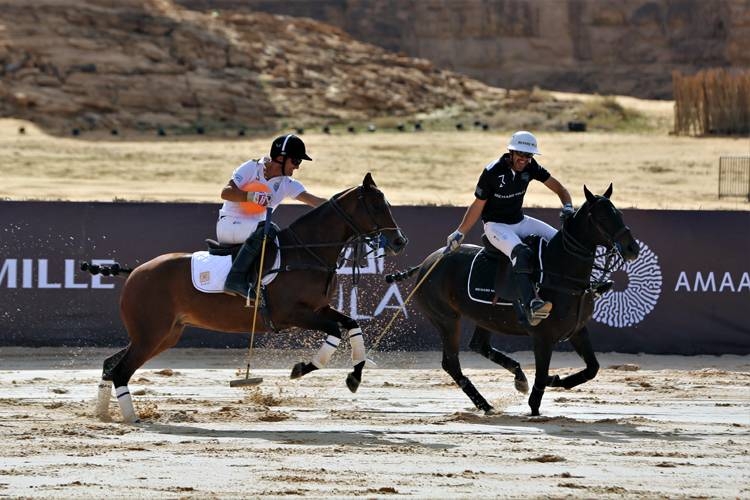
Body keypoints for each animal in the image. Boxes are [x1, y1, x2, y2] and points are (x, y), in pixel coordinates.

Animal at [94, 173, 412, 422]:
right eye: (376, 206)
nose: (399, 241)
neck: (307, 252)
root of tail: (135, 272)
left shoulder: (319, 308)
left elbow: (352, 325)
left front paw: (354, 376)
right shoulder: (291, 314)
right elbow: (335, 330)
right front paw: (302, 368)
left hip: (164, 334)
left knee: (110, 366)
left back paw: (103, 413)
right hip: (151, 333)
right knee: (120, 371)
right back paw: (131, 418)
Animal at [388, 186, 640, 416]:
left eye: (619, 213)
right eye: (601, 217)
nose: (632, 248)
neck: (562, 274)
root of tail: (426, 263)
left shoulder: (577, 330)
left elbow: (592, 368)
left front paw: (555, 380)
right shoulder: (543, 337)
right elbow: (541, 380)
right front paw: (537, 401)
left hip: (485, 316)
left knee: (479, 345)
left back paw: (518, 379)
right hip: (446, 319)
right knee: (451, 363)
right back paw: (485, 404)